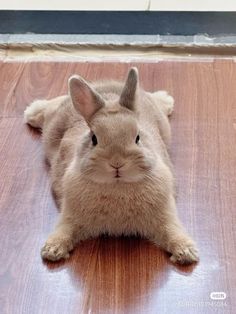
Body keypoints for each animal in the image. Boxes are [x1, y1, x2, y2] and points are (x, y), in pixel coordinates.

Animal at [24, 67, 199, 264]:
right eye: (94, 139)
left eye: (137, 137)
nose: (117, 163)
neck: (117, 186)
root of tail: (105, 85)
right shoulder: (69, 215)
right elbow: (64, 229)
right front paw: (52, 250)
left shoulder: (166, 214)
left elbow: (173, 230)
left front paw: (186, 253)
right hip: (52, 124)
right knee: (50, 107)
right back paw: (32, 111)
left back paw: (166, 98)